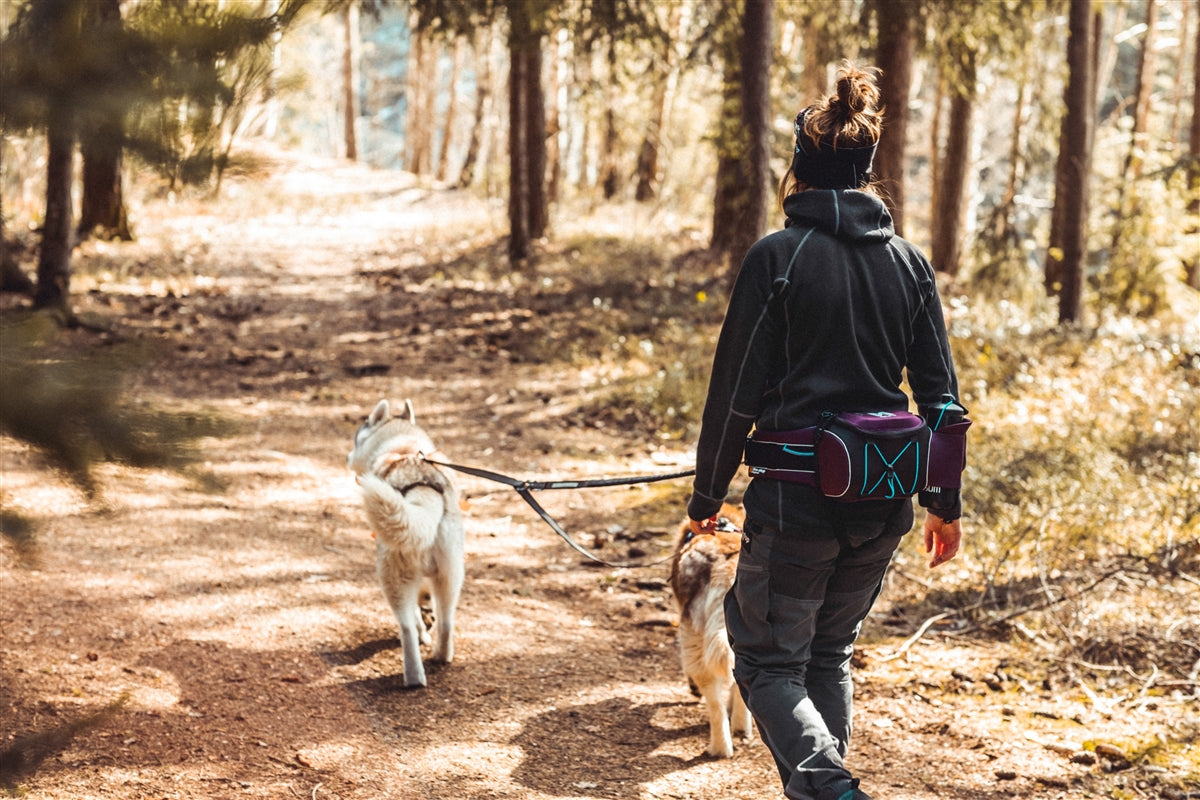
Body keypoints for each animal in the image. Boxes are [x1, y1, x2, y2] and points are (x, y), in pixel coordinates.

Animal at [350, 400, 465, 690]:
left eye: (356, 439)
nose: (348, 457)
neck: (402, 448)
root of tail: (422, 492)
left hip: (392, 576)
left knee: (407, 627)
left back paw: (413, 675)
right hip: (451, 574)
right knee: (446, 621)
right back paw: (441, 655)